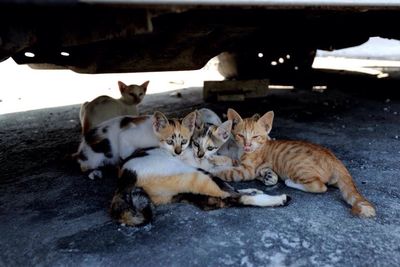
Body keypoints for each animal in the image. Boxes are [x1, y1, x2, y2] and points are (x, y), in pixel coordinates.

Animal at [212, 109, 376, 220]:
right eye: (240, 135)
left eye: (255, 136)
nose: (247, 145)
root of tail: (335, 159)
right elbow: (231, 161)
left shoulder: (246, 170)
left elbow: (227, 171)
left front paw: (212, 169)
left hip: (297, 168)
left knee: (320, 187)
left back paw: (291, 182)